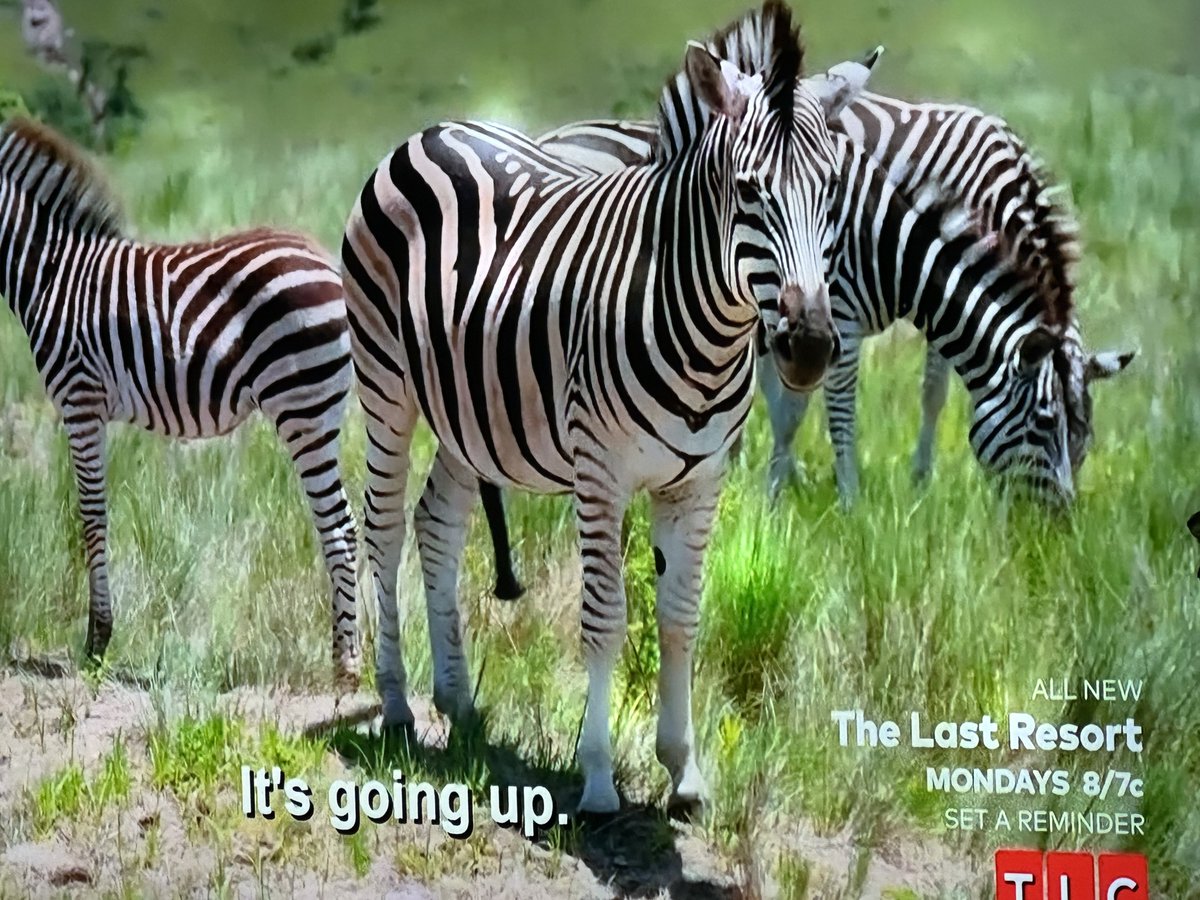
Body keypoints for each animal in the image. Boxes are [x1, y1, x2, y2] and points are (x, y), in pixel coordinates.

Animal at [0, 116, 362, 690]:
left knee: (339, 526)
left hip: (302, 408)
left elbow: (91, 517)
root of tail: (327, 261)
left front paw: (97, 643)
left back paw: (345, 668)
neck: (52, 277)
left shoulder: (80, 398)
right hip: (317, 411)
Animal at [339, 1, 874, 815]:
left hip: (470, 415)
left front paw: (684, 772)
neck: (702, 330)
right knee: (386, 526)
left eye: (833, 192)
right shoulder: (601, 477)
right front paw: (595, 778)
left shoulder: (701, 481)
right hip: (387, 385)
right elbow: (605, 618)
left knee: (438, 523)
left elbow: (682, 618)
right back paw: (398, 701)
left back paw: (457, 700)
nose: (810, 346)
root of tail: (429, 133)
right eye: (749, 191)